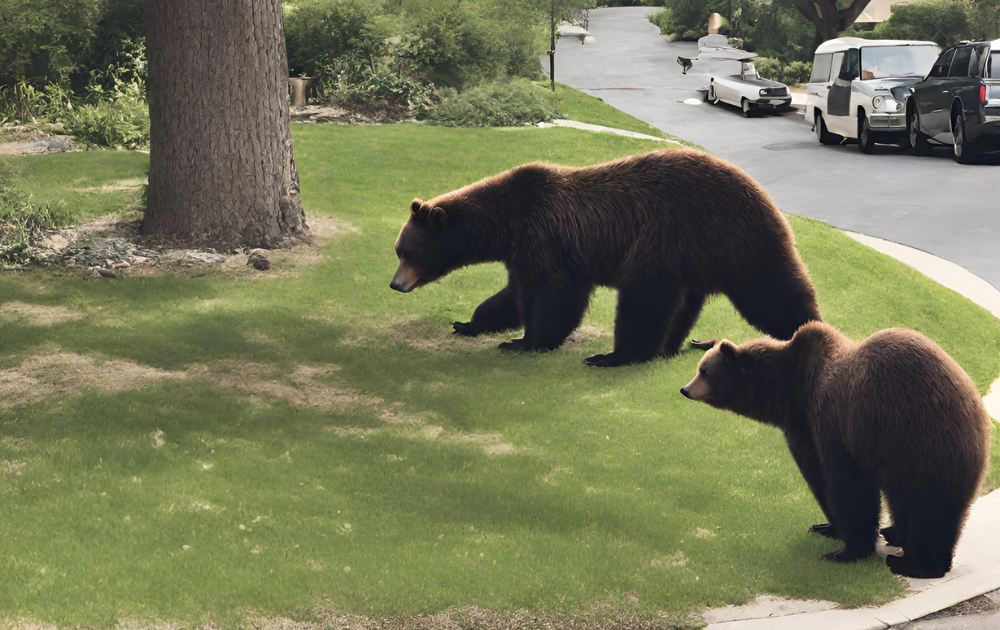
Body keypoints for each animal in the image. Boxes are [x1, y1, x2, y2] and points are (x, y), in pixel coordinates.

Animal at [390, 150, 820, 368]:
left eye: (408, 251)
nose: (395, 283)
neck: (506, 225)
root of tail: (766, 196)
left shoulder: (547, 239)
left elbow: (555, 296)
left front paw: (526, 342)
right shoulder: (525, 252)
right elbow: (511, 295)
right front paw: (469, 323)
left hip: (693, 236)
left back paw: (613, 356)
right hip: (698, 255)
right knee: (685, 304)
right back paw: (675, 346)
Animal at [680, 324, 992, 580]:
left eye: (704, 370)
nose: (685, 389)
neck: (792, 395)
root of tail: (981, 421)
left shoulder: (831, 423)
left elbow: (843, 484)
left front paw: (844, 550)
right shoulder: (806, 426)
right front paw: (826, 527)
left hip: (923, 445)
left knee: (929, 508)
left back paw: (913, 564)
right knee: (906, 500)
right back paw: (894, 533)